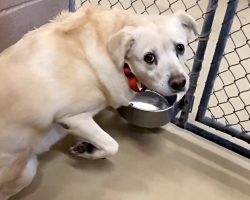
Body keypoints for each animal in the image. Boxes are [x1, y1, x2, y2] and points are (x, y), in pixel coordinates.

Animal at [0, 5, 197, 199]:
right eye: (149, 57)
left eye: (180, 47)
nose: (179, 82)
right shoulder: (74, 118)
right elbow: (112, 145)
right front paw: (90, 151)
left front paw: (88, 147)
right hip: (27, 171)